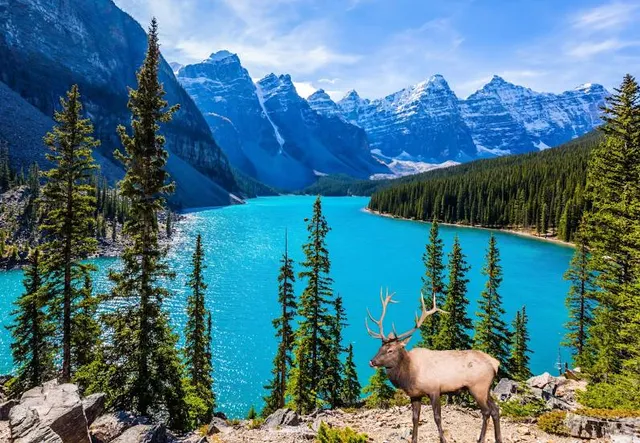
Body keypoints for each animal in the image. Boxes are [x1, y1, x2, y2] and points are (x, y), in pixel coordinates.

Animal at [366, 289, 502, 443]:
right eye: (380, 348)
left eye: (390, 350)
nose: (372, 361)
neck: (409, 375)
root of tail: (495, 363)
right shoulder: (415, 395)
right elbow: (415, 418)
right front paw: (414, 439)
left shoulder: (435, 390)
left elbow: (437, 418)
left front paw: (443, 439)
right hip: (486, 389)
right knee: (495, 409)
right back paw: (498, 439)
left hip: (478, 387)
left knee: (486, 412)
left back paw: (481, 439)